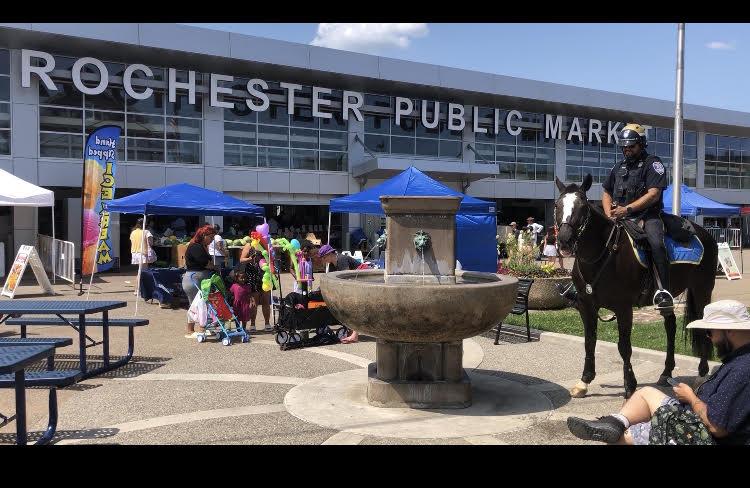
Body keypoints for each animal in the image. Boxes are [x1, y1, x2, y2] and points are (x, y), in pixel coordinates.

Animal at [556, 173, 720, 398]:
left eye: (582, 206)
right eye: (557, 205)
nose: (564, 240)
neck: (603, 254)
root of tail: (704, 234)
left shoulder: (623, 307)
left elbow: (624, 346)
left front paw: (630, 385)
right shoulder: (586, 306)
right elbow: (589, 341)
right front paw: (584, 381)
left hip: (702, 289)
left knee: (702, 327)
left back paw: (702, 375)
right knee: (670, 326)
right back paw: (666, 372)